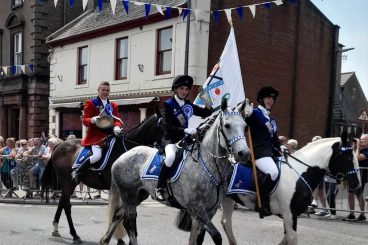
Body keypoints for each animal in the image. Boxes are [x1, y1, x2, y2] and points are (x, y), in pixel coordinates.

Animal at [41, 113, 163, 245]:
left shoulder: (138, 193)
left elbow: (122, 214)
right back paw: (74, 235)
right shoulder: (125, 191)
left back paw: (56, 228)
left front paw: (120, 239)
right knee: (67, 205)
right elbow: (125, 215)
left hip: (67, 183)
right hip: (67, 181)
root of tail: (59, 144)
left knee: (62, 202)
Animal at [100, 99, 250, 245]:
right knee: (129, 221)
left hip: (139, 195)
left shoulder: (210, 210)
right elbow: (217, 236)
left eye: (244, 126)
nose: (244, 153)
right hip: (128, 195)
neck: (208, 165)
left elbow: (200, 238)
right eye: (227, 125)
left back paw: (104, 240)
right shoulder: (197, 209)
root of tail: (122, 156)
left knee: (118, 216)